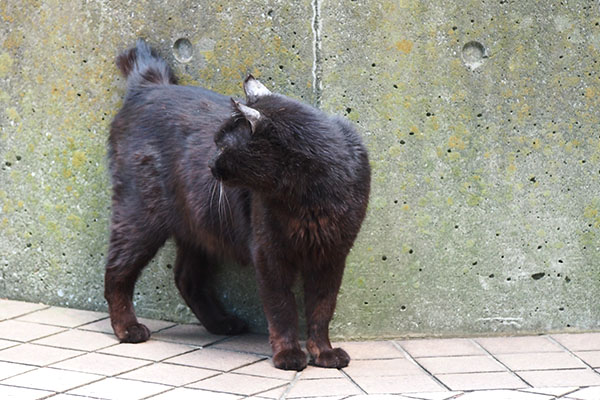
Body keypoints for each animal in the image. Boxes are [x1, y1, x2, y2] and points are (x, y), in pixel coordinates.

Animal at [106, 39, 370, 370]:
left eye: (222, 145)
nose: (209, 164)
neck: (308, 197)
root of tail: (150, 86)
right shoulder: (268, 254)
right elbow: (282, 308)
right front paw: (288, 354)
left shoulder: (331, 255)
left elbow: (322, 309)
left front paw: (323, 352)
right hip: (140, 217)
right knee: (116, 271)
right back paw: (127, 328)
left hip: (201, 228)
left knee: (185, 278)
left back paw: (221, 323)